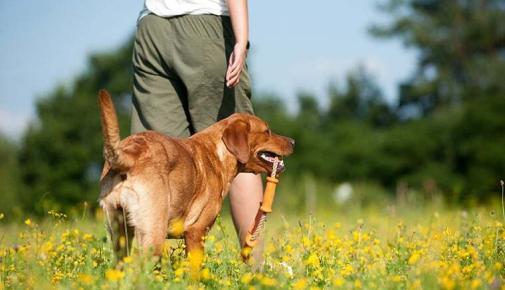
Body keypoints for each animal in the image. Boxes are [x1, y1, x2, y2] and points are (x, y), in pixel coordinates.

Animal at [97, 89, 292, 260]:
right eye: (267, 131)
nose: (293, 141)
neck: (219, 153)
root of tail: (129, 153)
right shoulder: (196, 232)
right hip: (153, 232)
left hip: (119, 232)